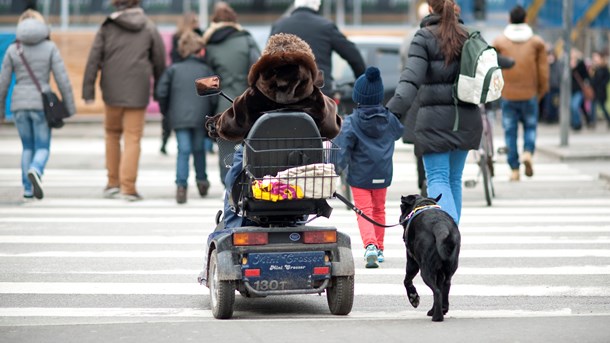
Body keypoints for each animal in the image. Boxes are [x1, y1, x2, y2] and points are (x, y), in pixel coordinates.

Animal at [396, 195, 458, 324]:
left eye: (401, 207)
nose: (400, 218)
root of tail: (440, 225)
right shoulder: (440, 273)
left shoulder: (412, 262)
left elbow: (407, 280)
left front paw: (413, 297)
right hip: (449, 268)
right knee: (444, 288)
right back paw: (441, 310)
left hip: (426, 270)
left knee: (437, 292)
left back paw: (437, 317)